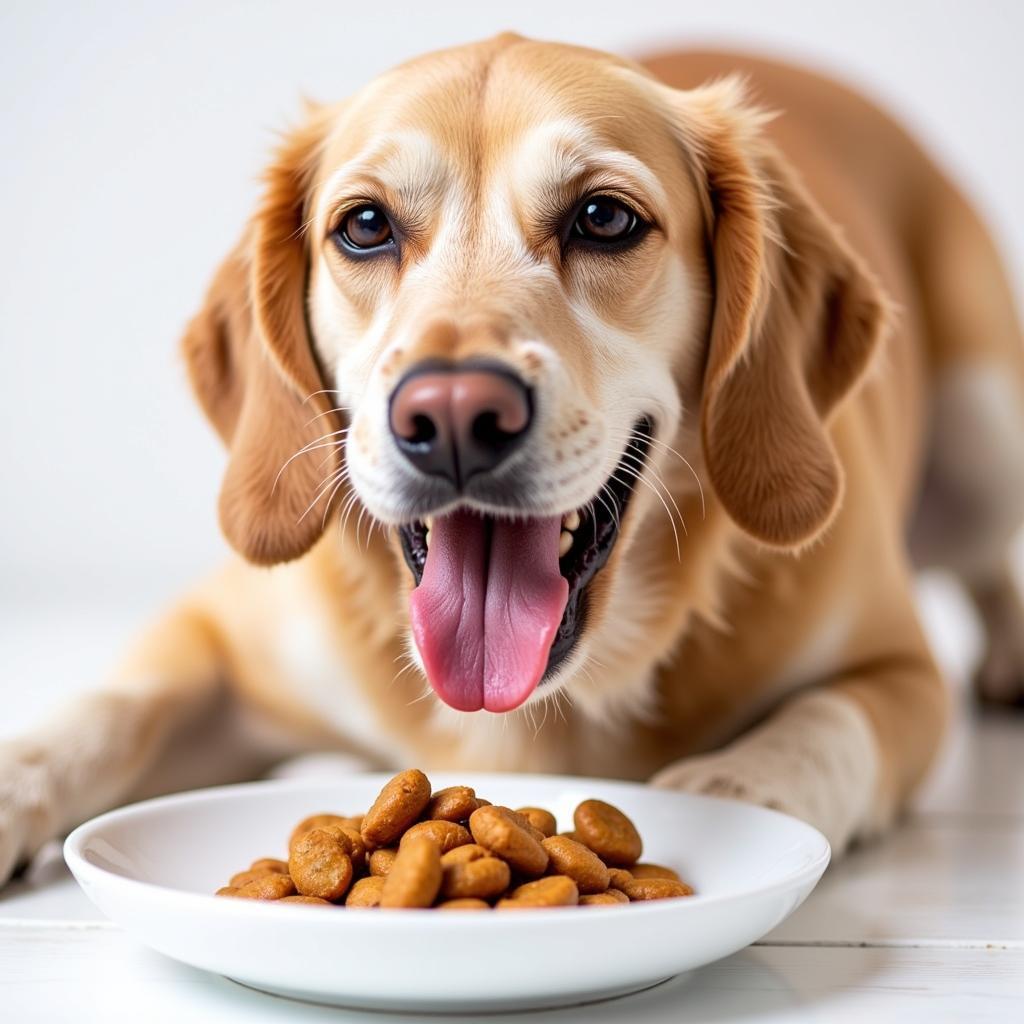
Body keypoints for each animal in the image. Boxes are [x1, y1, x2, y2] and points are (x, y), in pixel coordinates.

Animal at [2, 32, 1024, 880]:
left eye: (604, 218)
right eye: (364, 226)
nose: (454, 415)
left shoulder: (900, 672)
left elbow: (821, 725)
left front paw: (735, 785)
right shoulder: (212, 642)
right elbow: (103, 712)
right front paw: (15, 785)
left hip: (986, 439)